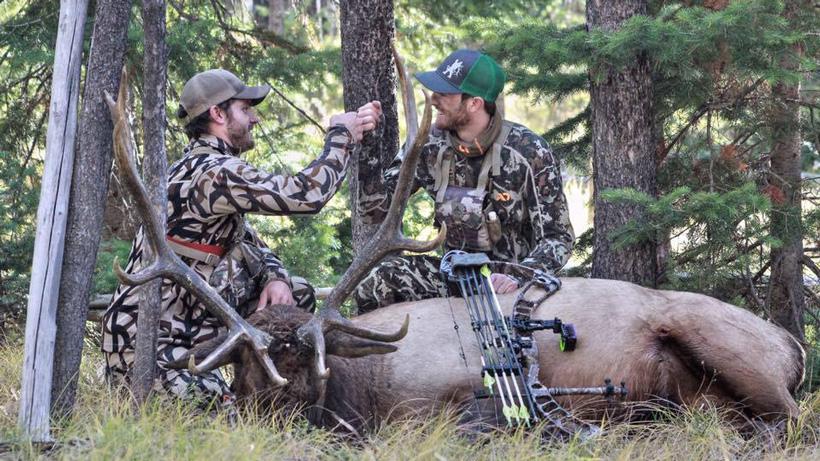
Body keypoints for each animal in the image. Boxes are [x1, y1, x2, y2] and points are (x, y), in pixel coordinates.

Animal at [104, 47, 805, 436]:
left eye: (310, 361)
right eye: (247, 368)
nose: (284, 420)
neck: (362, 391)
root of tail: (794, 345)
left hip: (729, 347)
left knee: (791, 422)